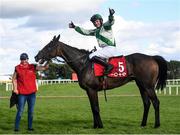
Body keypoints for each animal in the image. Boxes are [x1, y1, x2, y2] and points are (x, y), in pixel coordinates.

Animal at [34, 34, 167, 128]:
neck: (84, 64)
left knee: (156, 102)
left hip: (148, 86)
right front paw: (95, 126)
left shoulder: (91, 89)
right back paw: (143, 124)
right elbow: (93, 108)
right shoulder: (90, 91)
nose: (36, 56)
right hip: (141, 85)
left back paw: (157, 125)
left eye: (49, 46)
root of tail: (152, 57)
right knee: (146, 103)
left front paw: (100, 126)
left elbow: (96, 108)